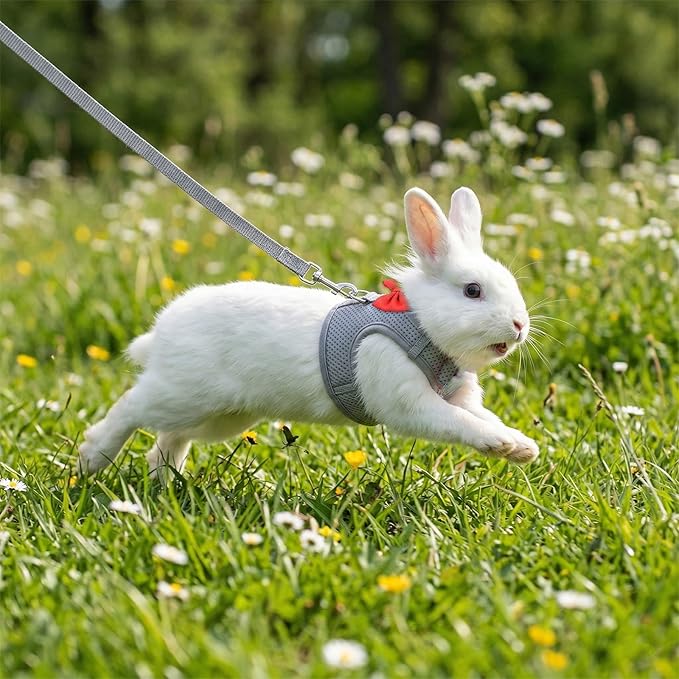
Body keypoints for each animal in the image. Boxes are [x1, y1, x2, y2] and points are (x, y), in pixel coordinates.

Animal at [79, 186, 539, 480]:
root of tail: (161, 333)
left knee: (170, 437)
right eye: (472, 290)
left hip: (221, 416)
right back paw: (91, 458)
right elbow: (457, 423)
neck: (420, 325)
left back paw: (165, 480)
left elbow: (480, 416)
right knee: (131, 407)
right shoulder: (408, 400)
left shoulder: (460, 397)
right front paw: (504, 444)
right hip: (182, 394)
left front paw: (519, 447)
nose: (520, 325)